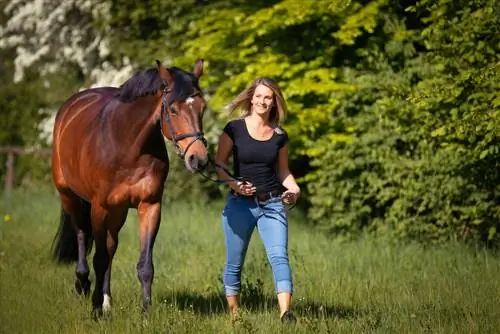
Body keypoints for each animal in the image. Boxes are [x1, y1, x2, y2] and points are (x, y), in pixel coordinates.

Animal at [50, 58, 207, 318]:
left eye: (202, 108)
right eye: (173, 109)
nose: (198, 159)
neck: (127, 144)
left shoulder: (150, 206)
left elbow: (145, 265)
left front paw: (145, 312)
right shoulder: (99, 207)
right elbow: (99, 258)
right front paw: (95, 311)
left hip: (118, 211)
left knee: (111, 246)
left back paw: (106, 300)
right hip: (69, 196)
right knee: (82, 234)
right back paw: (83, 284)